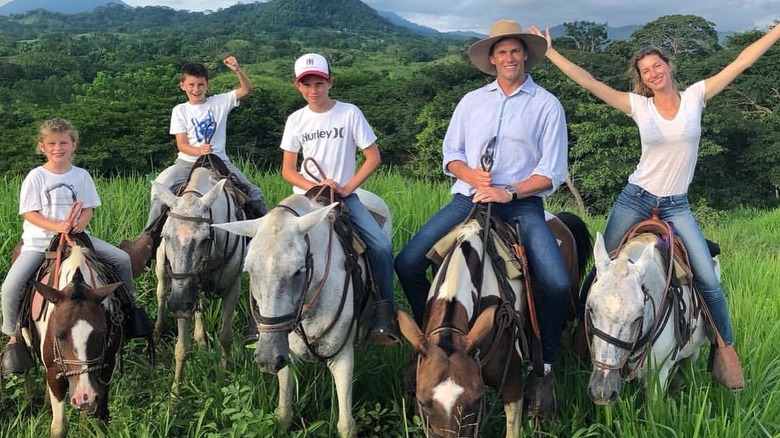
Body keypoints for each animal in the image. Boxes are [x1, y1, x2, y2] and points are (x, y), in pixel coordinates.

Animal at [23, 240, 125, 438]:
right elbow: (59, 427)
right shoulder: (54, 372)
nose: (84, 396)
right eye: (58, 335)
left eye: (101, 333)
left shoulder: (107, 366)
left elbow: (100, 420)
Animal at [153, 166, 247, 392]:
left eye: (205, 239)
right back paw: (159, 330)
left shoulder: (233, 287)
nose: (178, 303)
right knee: (161, 293)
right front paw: (175, 392)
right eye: (165, 235)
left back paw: (201, 340)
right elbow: (182, 347)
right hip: (162, 270)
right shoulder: (180, 291)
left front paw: (223, 375)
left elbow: (225, 336)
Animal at [212, 188, 390, 438]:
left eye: (299, 271)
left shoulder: (342, 356)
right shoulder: (285, 352)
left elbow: (346, 425)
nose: (267, 359)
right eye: (249, 270)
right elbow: (283, 415)